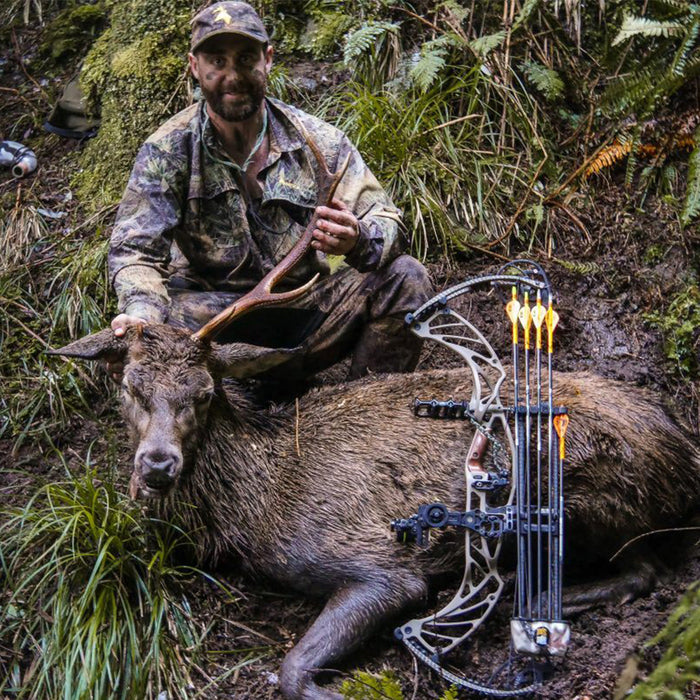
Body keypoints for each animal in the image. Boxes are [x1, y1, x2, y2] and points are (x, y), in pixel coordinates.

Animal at [49, 132, 700, 700]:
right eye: (129, 388)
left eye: (206, 392)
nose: (157, 466)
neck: (251, 512)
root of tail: (684, 451)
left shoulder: (378, 563)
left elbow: (291, 669)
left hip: (584, 494)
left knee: (642, 569)